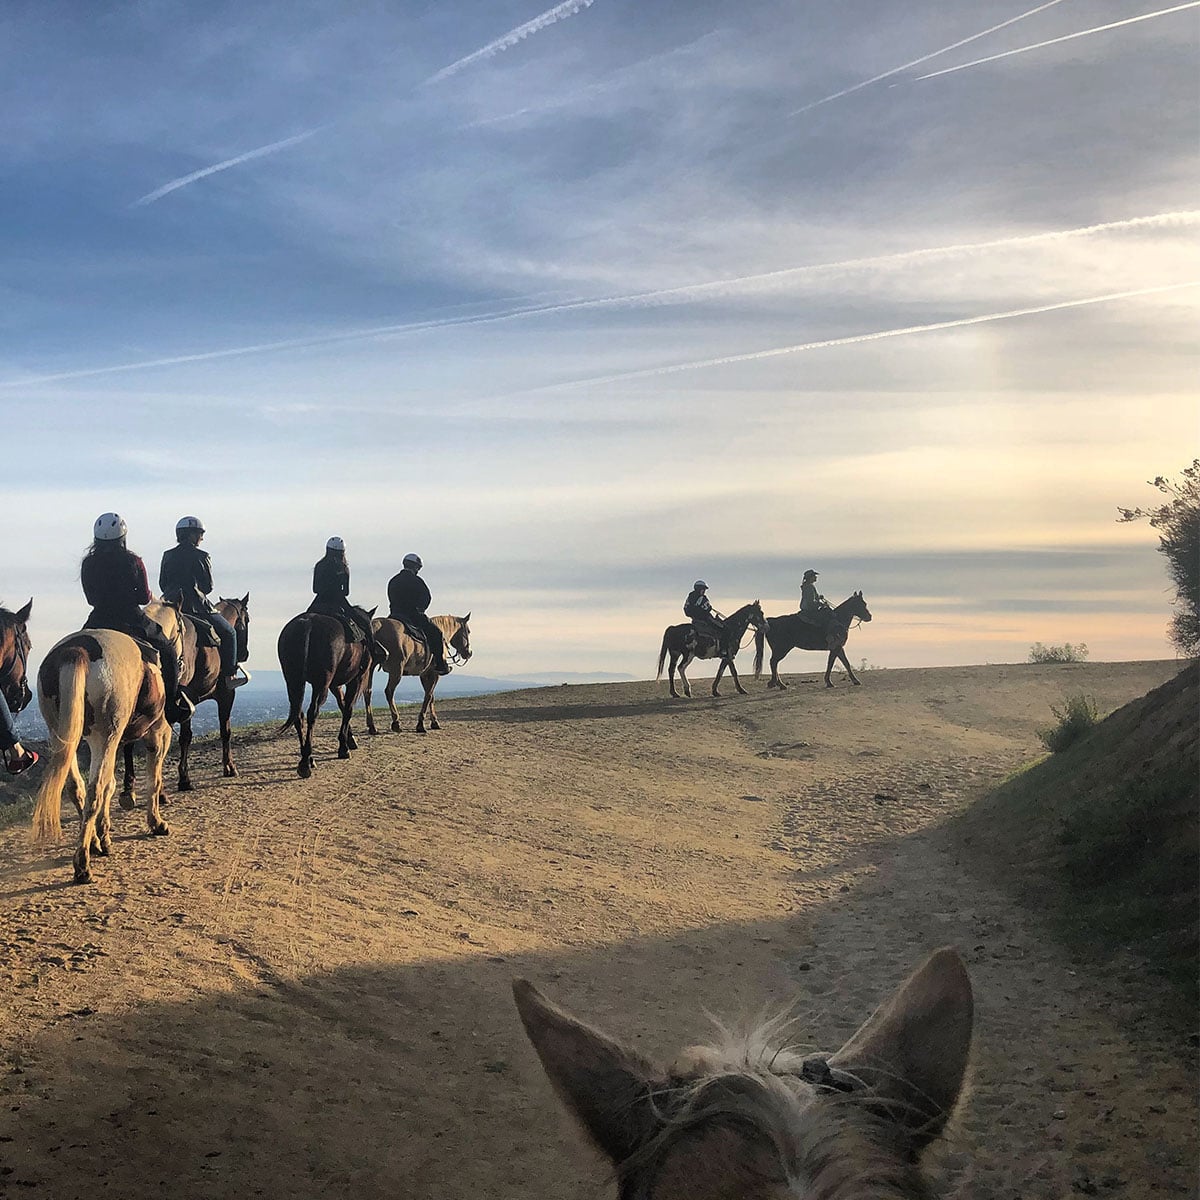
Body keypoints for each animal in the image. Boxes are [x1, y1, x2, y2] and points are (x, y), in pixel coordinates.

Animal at [31, 630, 172, 884]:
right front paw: (156, 823)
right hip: (104, 737)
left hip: (63, 736)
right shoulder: (158, 734)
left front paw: (103, 835)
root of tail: (76, 650)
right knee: (94, 789)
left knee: (77, 787)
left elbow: (111, 785)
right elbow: (153, 781)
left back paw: (94, 844)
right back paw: (82, 865)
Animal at [123, 595, 251, 796]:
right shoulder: (226, 695)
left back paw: (130, 789)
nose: (244, 654)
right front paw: (228, 768)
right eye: (247, 620)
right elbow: (222, 731)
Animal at [277, 607, 379, 778]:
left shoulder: (334, 685)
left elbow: (342, 705)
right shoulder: (354, 680)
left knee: (298, 714)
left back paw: (308, 758)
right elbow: (348, 709)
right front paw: (344, 747)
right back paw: (305, 762)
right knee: (312, 713)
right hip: (321, 684)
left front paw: (349, 739)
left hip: (293, 682)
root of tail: (308, 624)